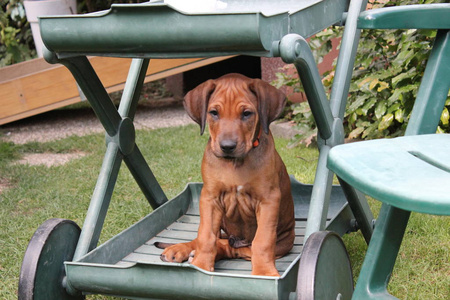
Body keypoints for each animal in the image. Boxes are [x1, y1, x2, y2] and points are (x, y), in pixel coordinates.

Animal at [159, 72, 296, 276]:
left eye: (246, 113)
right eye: (214, 113)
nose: (227, 146)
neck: (235, 163)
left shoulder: (268, 199)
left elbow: (262, 241)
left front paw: (263, 272)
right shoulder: (210, 198)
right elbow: (206, 236)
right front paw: (201, 265)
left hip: (282, 243)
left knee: (234, 247)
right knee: (215, 240)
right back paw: (181, 249)